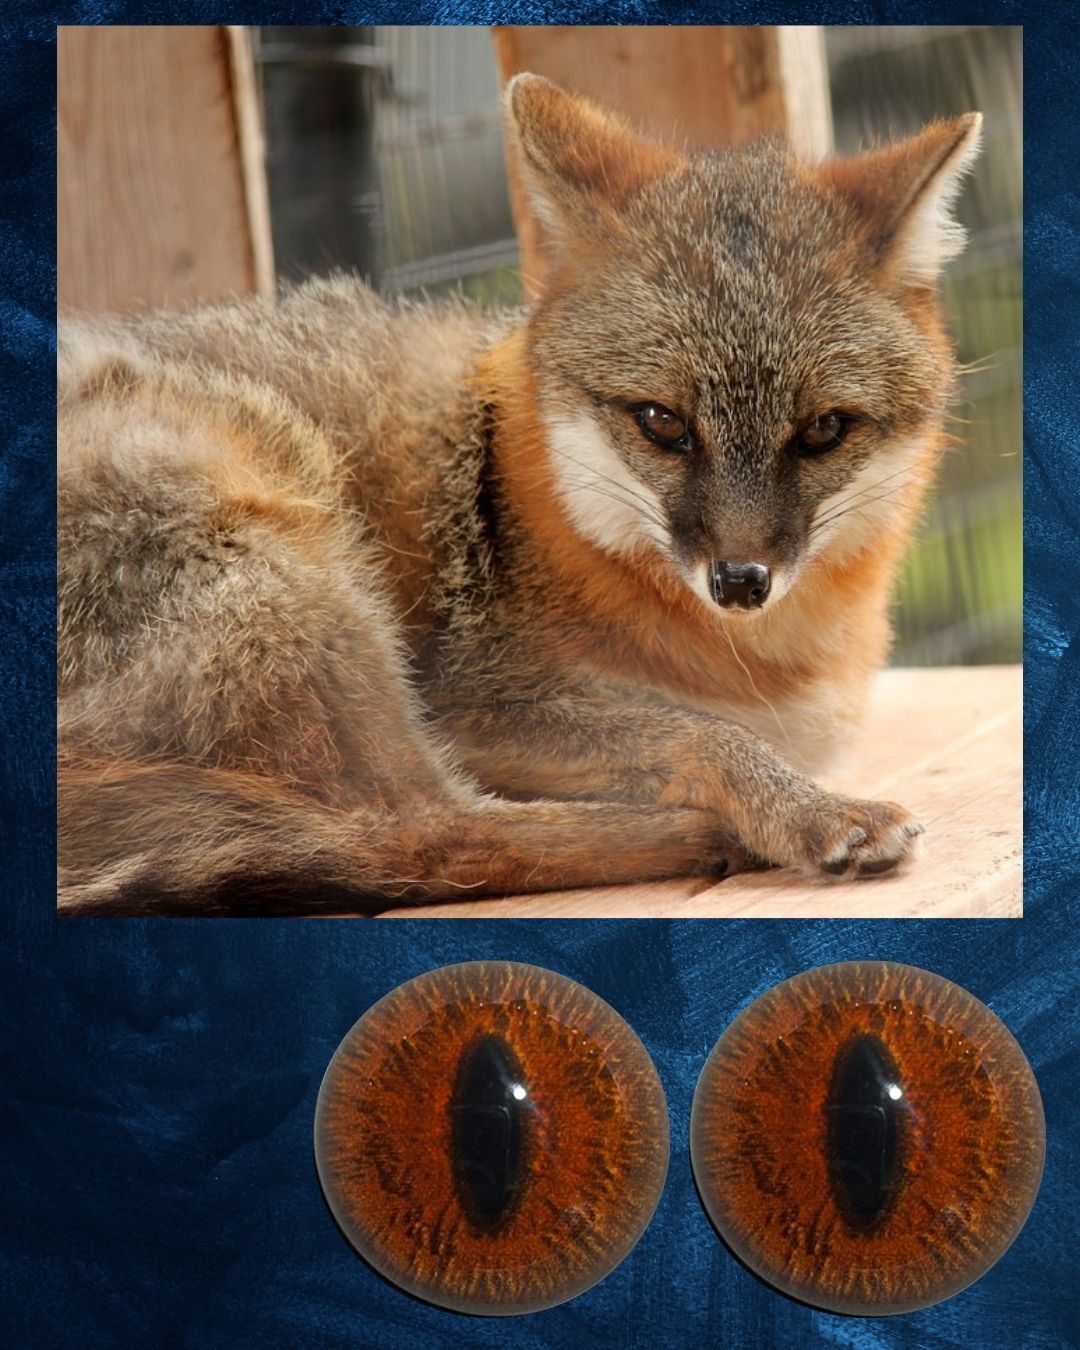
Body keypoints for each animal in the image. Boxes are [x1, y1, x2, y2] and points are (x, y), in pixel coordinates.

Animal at [58, 74, 983, 915]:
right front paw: (803, 809)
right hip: (290, 531)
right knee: (414, 832)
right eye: (663, 423)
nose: (740, 582)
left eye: (824, 430)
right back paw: (698, 834)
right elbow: (702, 733)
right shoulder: (470, 702)